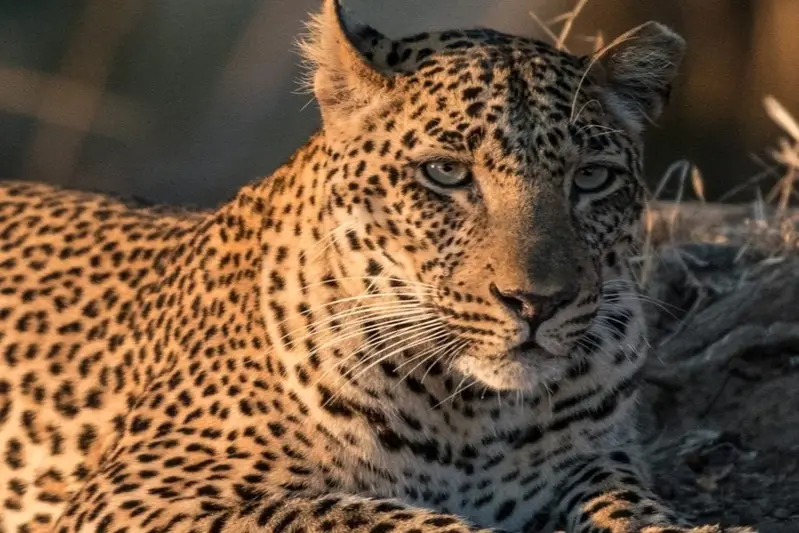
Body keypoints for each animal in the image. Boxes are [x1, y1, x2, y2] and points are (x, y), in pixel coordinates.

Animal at [0, 1, 759, 533]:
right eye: (446, 173)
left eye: (592, 178)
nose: (536, 303)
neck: (471, 418)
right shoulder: (151, 485)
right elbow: (373, 516)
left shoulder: (593, 461)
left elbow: (633, 507)